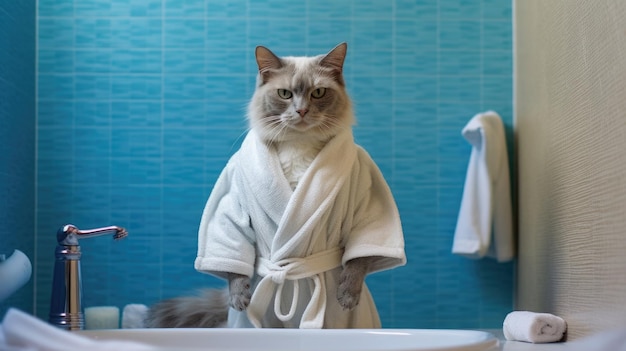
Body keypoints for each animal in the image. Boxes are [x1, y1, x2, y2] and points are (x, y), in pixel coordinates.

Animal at [145, 43, 380, 330]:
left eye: (318, 93)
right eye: (285, 94)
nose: (302, 111)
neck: (298, 145)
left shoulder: (366, 206)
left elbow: (358, 261)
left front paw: (347, 296)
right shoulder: (231, 207)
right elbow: (235, 267)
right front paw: (240, 299)